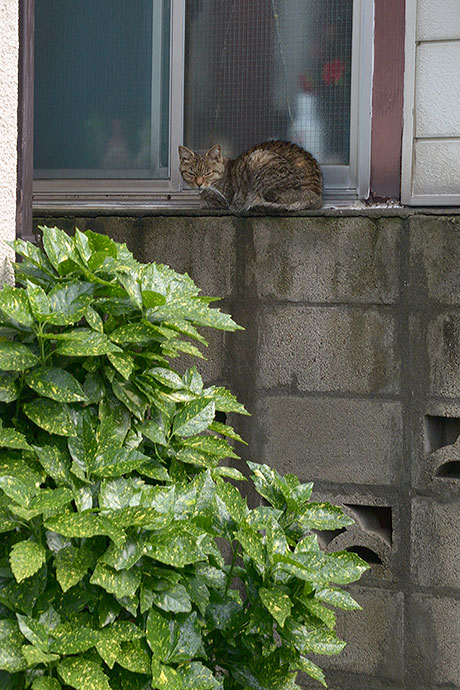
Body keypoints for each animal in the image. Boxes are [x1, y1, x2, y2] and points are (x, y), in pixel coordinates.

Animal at [178, 140, 322, 212]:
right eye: (191, 173)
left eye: (208, 173)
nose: (199, 183)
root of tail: (316, 196)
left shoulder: (223, 198)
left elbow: (203, 201)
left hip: (259, 158)